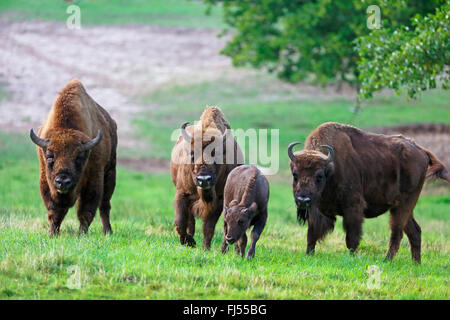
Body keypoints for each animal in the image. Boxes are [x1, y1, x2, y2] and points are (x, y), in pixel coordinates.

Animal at [30, 79, 118, 236]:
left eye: (79, 158)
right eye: (49, 157)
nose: (63, 181)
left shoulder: (94, 179)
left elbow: (86, 210)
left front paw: (81, 234)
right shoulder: (46, 182)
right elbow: (55, 211)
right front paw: (53, 234)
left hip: (110, 172)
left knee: (104, 205)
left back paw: (107, 231)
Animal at [171, 106, 244, 249]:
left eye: (217, 155)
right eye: (192, 154)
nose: (204, 179)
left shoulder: (219, 200)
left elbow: (208, 227)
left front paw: (205, 248)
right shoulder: (182, 193)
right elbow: (180, 222)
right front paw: (187, 242)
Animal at [288, 120, 450, 262]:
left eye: (319, 176)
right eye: (295, 174)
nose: (303, 200)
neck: (331, 169)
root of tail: (421, 151)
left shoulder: (353, 207)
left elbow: (352, 238)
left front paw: (352, 258)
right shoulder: (316, 210)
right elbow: (311, 234)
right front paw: (308, 255)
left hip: (404, 204)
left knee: (396, 232)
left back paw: (387, 260)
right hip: (403, 207)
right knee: (414, 232)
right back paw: (416, 263)